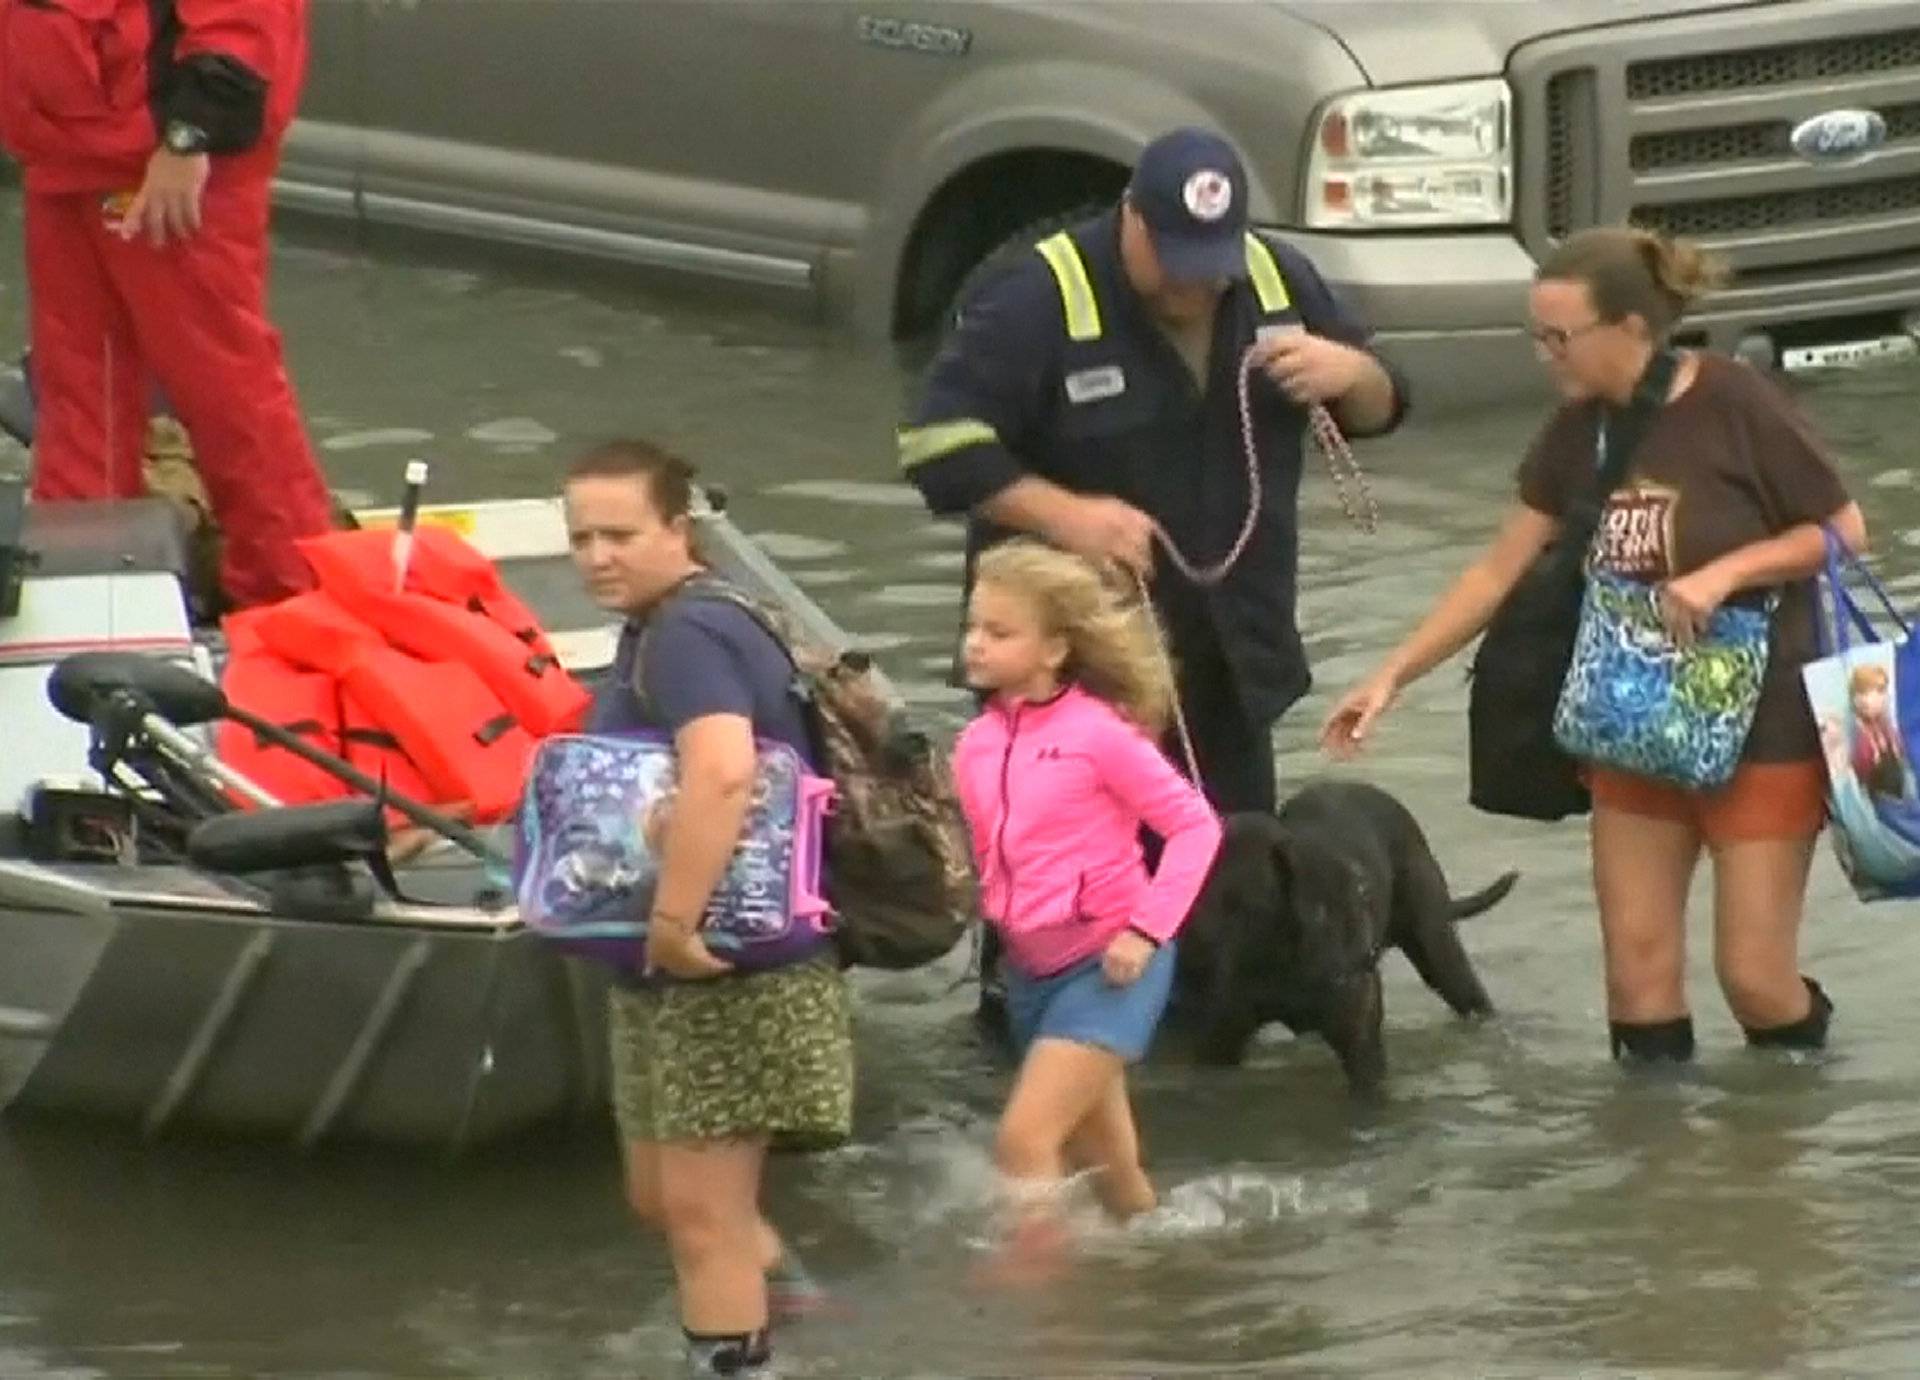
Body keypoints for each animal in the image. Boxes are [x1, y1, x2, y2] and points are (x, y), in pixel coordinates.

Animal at [1175, 783, 1520, 1097]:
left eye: (1239, 902)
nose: (1186, 963)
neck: (1278, 955)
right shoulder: (1219, 1044)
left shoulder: (1361, 1047)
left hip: (1438, 949)